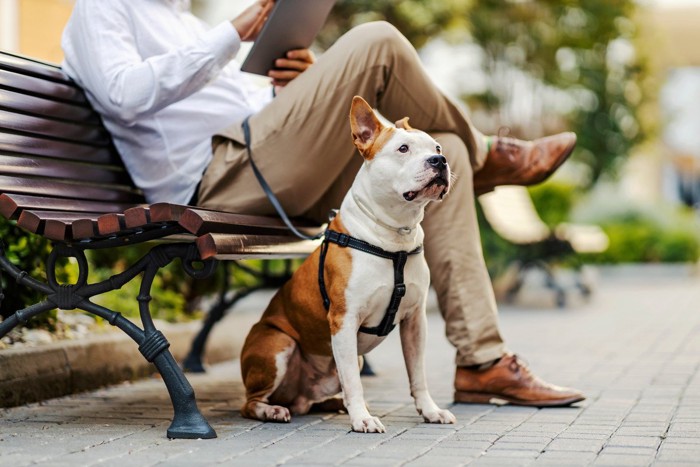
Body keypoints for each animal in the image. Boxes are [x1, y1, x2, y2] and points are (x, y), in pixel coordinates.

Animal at [241, 96, 456, 436]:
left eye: (437, 147)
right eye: (403, 149)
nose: (440, 161)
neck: (394, 237)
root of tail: (297, 397)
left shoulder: (415, 321)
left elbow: (418, 374)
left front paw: (431, 411)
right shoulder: (344, 321)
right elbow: (355, 384)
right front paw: (362, 418)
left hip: (344, 363)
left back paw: (331, 404)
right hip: (277, 343)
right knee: (250, 403)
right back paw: (272, 410)